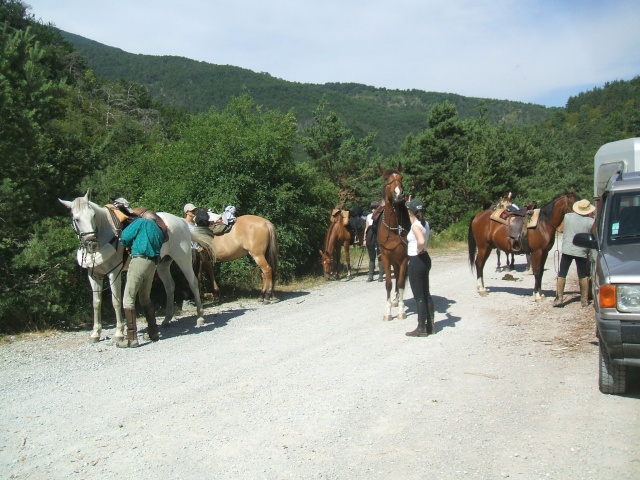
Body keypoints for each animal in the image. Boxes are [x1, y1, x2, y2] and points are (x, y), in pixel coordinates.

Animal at [59, 190, 205, 342]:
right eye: (76, 219)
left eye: (93, 215)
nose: (92, 244)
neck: (107, 234)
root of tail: (181, 221)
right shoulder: (94, 276)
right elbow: (96, 303)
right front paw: (95, 333)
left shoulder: (114, 273)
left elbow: (116, 301)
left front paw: (118, 333)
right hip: (163, 265)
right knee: (170, 287)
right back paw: (166, 320)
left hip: (183, 260)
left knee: (193, 283)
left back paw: (200, 317)